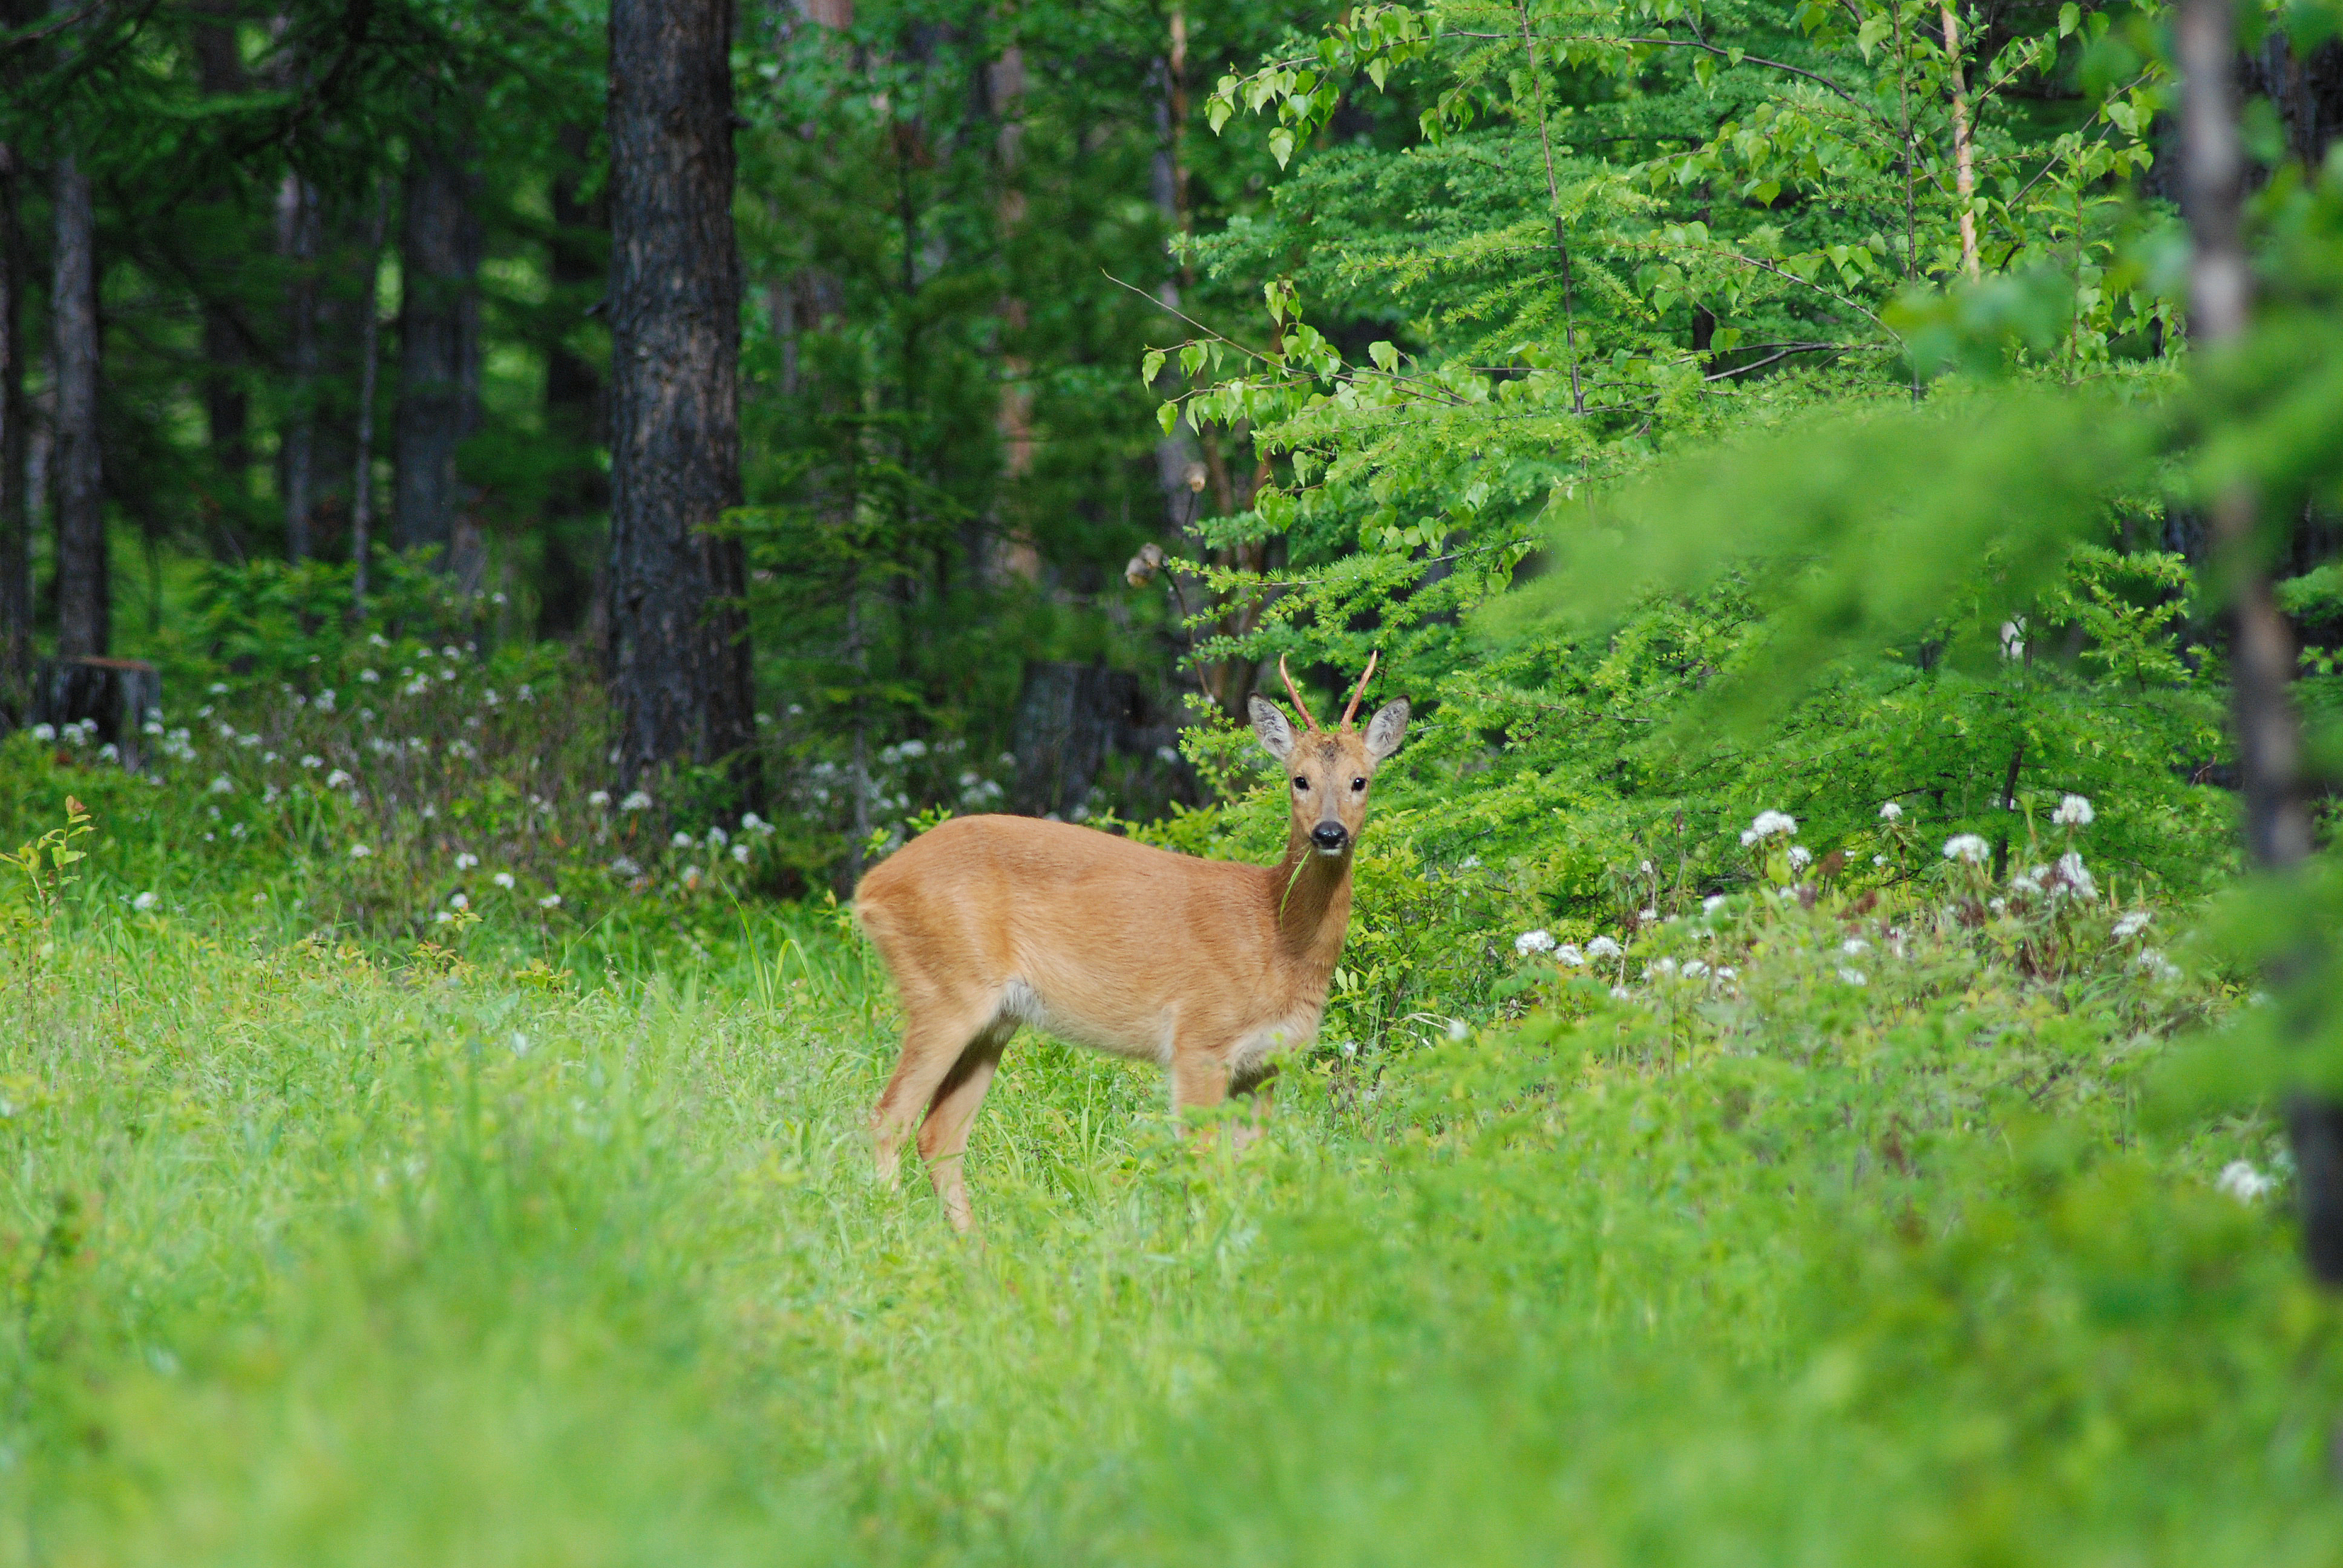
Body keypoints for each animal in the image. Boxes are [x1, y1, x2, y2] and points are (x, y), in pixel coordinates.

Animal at [862, 656, 1406, 1228]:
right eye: (1299, 779)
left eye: (1360, 780)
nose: (1329, 833)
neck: (1276, 936)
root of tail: (870, 888)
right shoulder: (1200, 1041)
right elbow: (1198, 1160)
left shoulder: (1267, 1063)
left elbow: (1251, 1166)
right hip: (945, 989)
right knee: (888, 1117)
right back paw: (892, 1228)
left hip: (996, 1019)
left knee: (938, 1134)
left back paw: (972, 1244)